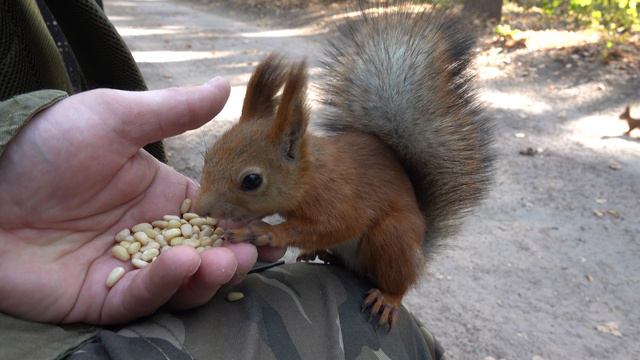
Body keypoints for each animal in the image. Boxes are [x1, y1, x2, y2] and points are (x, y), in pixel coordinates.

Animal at [195, 3, 496, 330]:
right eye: (208, 156)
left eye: (251, 180)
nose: (200, 209)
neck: (312, 176)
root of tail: (421, 249)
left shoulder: (341, 197)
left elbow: (340, 224)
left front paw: (266, 232)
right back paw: (323, 254)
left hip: (393, 237)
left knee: (397, 280)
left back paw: (387, 298)